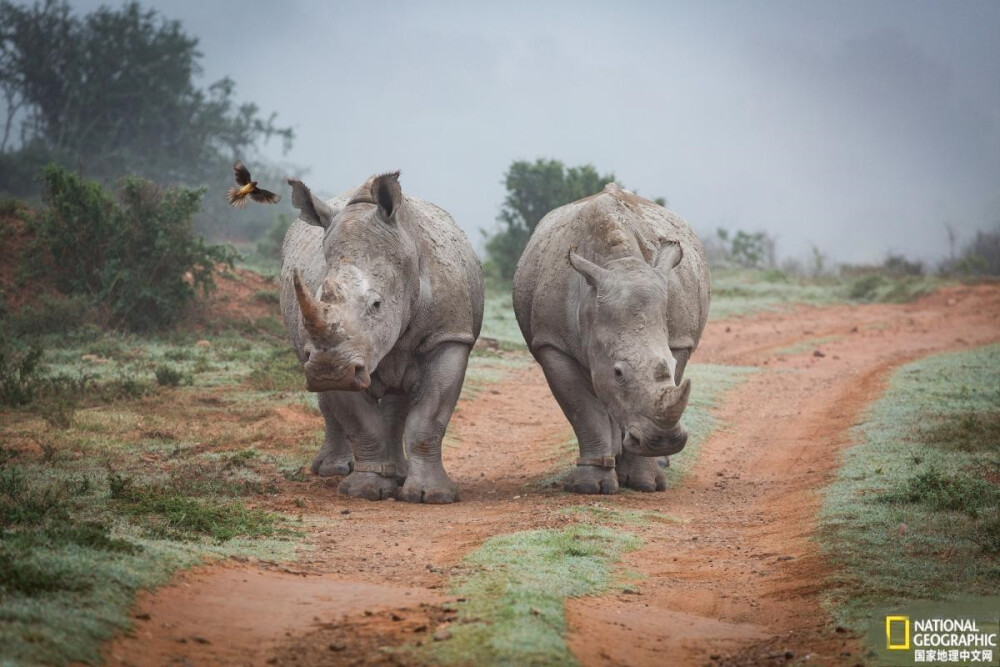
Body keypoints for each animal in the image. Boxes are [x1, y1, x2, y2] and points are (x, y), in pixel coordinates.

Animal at [282, 170, 484, 504]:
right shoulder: (336, 355)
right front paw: (364, 490)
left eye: (376, 305)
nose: (328, 370)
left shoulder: (448, 336)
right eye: (320, 297)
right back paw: (333, 470)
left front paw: (431, 496)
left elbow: (429, 417)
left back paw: (398, 474)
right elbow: (361, 423)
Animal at [516, 183, 712, 496]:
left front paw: (646, 482)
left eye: (670, 364)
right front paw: (589, 486)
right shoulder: (553, 343)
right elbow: (583, 410)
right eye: (618, 373)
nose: (664, 441)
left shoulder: (680, 340)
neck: (619, 262)